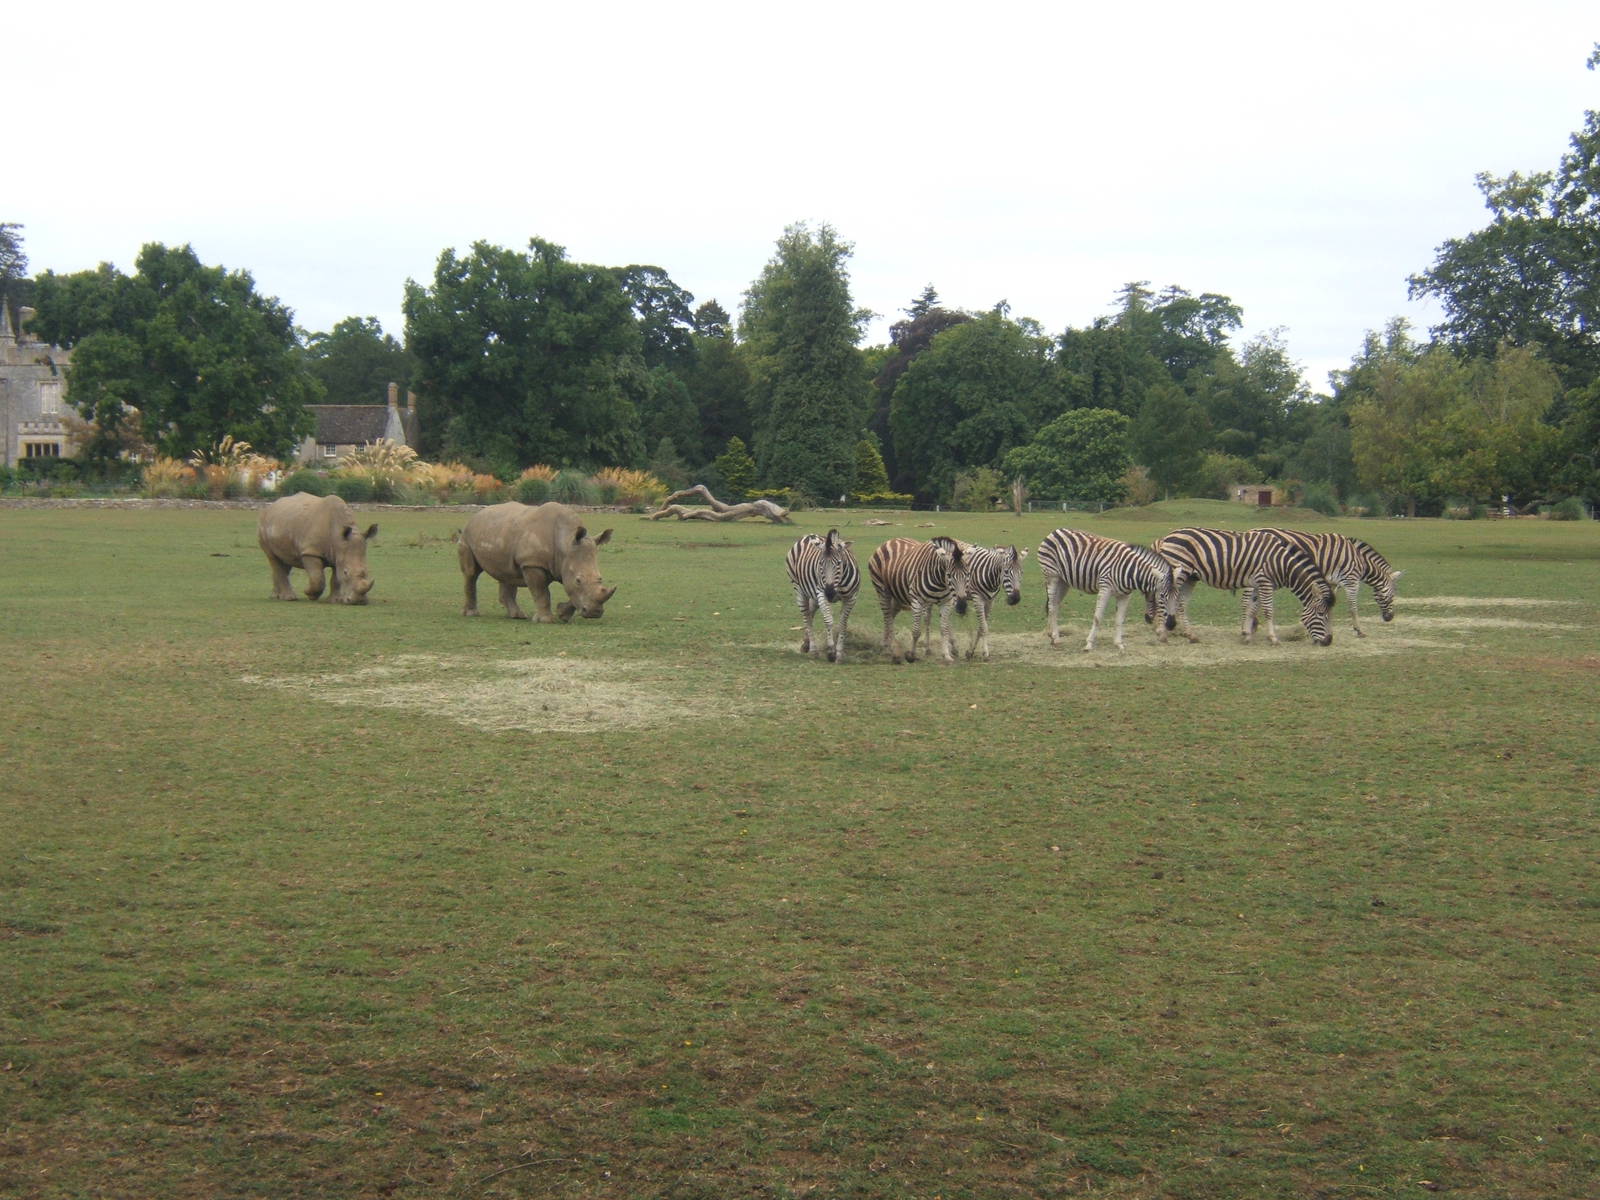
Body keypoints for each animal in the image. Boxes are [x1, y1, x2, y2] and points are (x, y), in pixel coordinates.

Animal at [458, 501, 617, 621]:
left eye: (600, 579)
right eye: (578, 580)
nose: (594, 613)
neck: (565, 543)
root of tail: (477, 514)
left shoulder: (566, 563)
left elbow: (572, 591)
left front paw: (562, 615)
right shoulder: (532, 563)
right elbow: (541, 592)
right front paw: (547, 620)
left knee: (507, 574)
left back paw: (518, 616)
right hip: (466, 535)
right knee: (471, 573)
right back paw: (472, 614)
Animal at [785, 528, 860, 662]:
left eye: (839, 563)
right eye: (820, 564)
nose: (829, 593)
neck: (838, 584)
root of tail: (808, 535)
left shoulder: (852, 598)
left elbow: (843, 624)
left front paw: (839, 653)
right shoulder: (821, 593)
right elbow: (828, 620)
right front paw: (831, 652)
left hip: (814, 596)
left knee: (810, 612)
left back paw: (806, 644)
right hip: (798, 588)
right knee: (807, 617)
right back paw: (813, 650)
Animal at [1036, 528, 1173, 651]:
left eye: (1172, 598)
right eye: (1162, 597)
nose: (1169, 627)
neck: (1131, 571)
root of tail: (1056, 531)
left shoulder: (1125, 595)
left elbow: (1119, 619)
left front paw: (1119, 644)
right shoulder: (1105, 588)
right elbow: (1098, 617)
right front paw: (1089, 644)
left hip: (1064, 581)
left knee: (1055, 604)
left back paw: (1055, 637)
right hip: (1052, 575)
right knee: (1051, 606)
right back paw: (1054, 638)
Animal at [1154, 527, 1334, 646]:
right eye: (1321, 614)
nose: (1328, 641)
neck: (1282, 563)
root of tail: (1166, 537)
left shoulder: (1257, 584)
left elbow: (1251, 608)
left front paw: (1247, 635)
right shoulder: (1265, 582)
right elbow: (1268, 610)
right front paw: (1273, 638)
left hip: (1190, 577)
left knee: (1181, 603)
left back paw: (1191, 636)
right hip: (1177, 570)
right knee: (1163, 597)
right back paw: (1161, 634)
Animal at [1257, 529, 1402, 637]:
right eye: (1392, 596)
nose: (1390, 617)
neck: (1360, 560)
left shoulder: (1332, 582)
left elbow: (1329, 605)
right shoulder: (1351, 580)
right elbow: (1353, 606)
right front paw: (1359, 630)